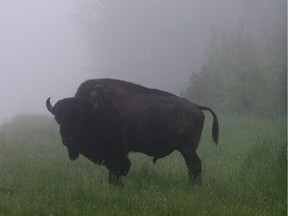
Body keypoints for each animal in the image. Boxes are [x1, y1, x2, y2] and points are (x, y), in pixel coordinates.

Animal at [46, 78, 218, 185]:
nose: (67, 139)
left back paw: (192, 186)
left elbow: (117, 167)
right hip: (188, 148)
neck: (94, 109)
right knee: (195, 165)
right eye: (59, 119)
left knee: (193, 165)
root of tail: (196, 106)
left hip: (187, 148)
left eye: (79, 119)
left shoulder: (116, 151)